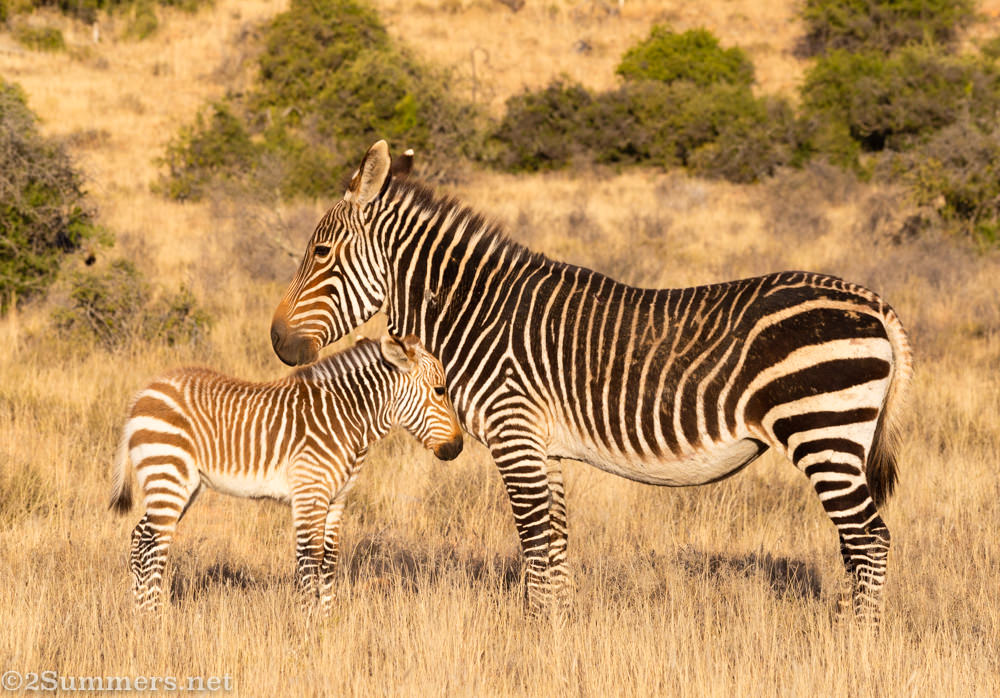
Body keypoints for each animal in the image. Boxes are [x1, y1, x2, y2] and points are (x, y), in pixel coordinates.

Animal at [109, 333, 463, 613]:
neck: (347, 420)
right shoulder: (310, 493)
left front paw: (327, 624)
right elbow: (309, 559)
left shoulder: (337, 500)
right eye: (440, 390)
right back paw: (155, 621)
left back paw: (140, 616)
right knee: (153, 546)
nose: (457, 447)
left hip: (182, 484)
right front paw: (307, 628)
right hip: (168, 473)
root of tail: (144, 393)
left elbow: (329, 560)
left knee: (140, 538)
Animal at [269, 140, 912, 623]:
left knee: (870, 539)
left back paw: (858, 642)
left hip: (822, 426)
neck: (475, 314)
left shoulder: (514, 432)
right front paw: (559, 633)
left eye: (320, 251)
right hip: (836, 435)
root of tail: (873, 301)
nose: (277, 342)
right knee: (856, 542)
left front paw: (532, 638)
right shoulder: (543, 446)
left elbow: (534, 542)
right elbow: (556, 545)